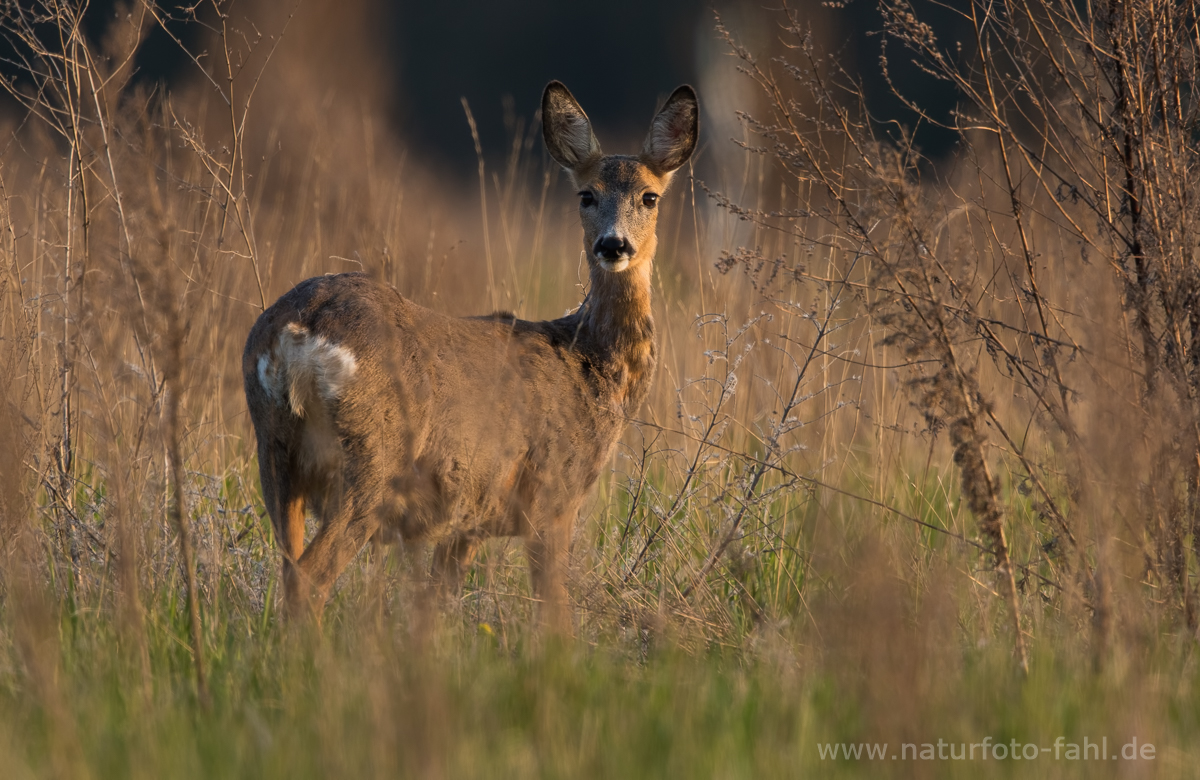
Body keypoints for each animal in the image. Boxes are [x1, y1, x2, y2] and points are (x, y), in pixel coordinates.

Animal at [241, 80, 696, 624]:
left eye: (650, 197)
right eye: (586, 195)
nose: (613, 245)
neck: (589, 366)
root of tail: (298, 330)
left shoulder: (469, 519)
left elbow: (435, 608)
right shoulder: (552, 495)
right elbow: (554, 616)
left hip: (274, 450)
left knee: (289, 566)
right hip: (372, 459)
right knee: (310, 576)